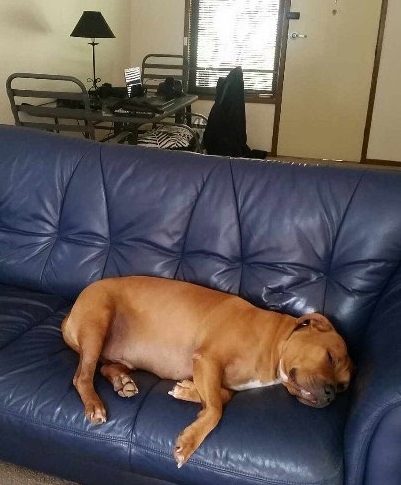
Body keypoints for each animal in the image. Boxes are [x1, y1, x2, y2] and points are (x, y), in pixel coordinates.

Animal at [61, 274, 352, 466]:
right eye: (329, 357)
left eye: (342, 387)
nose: (330, 394)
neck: (278, 343)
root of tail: (69, 315)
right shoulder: (207, 359)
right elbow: (215, 410)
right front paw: (189, 442)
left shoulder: (216, 376)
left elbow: (221, 397)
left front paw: (188, 390)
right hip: (98, 322)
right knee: (82, 375)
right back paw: (95, 405)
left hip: (118, 353)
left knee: (106, 367)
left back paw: (122, 381)